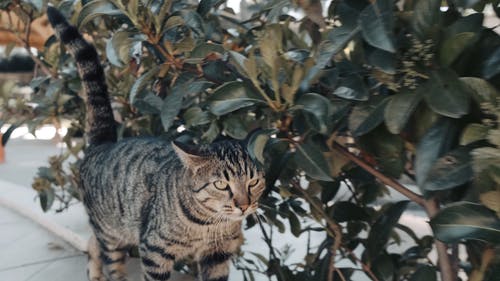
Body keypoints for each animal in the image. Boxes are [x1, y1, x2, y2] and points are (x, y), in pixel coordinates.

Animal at [47, 6, 266, 280]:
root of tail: (103, 143)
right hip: (111, 233)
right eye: (220, 185)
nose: (243, 206)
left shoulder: (218, 253)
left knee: (93, 244)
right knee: (111, 262)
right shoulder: (154, 250)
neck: (206, 225)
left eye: (253, 182)